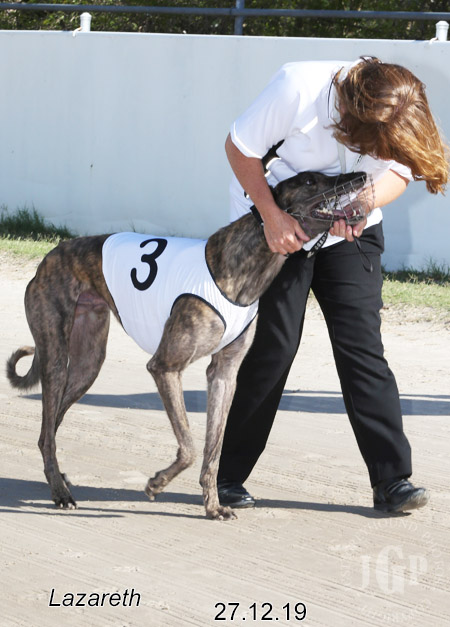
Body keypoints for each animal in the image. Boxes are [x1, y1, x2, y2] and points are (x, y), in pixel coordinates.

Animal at [6, 170, 369, 520]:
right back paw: (60, 492)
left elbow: (213, 449)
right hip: (56, 357)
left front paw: (213, 507)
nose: (362, 175)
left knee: (50, 430)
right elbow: (191, 447)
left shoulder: (224, 374)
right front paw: (157, 483)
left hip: (87, 364)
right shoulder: (165, 367)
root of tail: (49, 257)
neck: (244, 264)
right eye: (310, 179)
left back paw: (60, 480)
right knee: (47, 430)